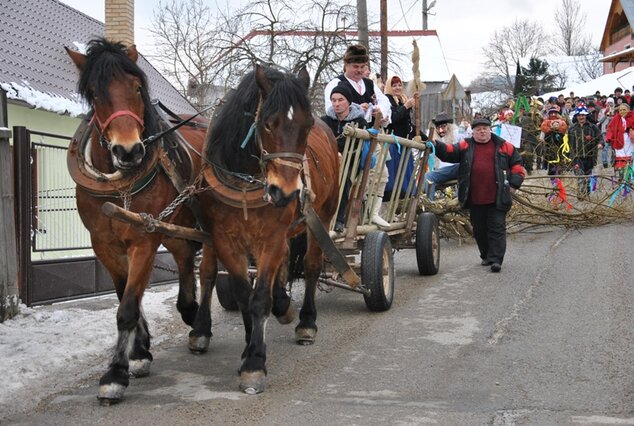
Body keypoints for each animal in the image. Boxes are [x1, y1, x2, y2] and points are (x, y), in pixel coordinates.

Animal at [65, 37, 206, 402]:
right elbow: (127, 295)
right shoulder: (105, 244)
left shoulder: (144, 238)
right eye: (95, 93)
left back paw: (199, 323)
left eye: (137, 87)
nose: (128, 151)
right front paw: (140, 353)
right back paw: (190, 310)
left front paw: (115, 373)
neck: (121, 185)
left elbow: (128, 307)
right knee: (185, 259)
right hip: (174, 230)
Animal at [190, 65, 340, 394]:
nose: (286, 192)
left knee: (311, 265)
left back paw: (305, 321)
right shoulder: (225, 240)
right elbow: (244, 296)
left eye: (307, 124)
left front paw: (254, 364)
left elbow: (259, 299)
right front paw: (249, 348)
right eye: (268, 124)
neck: (246, 184)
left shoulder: (270, 239)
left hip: (321, 217)